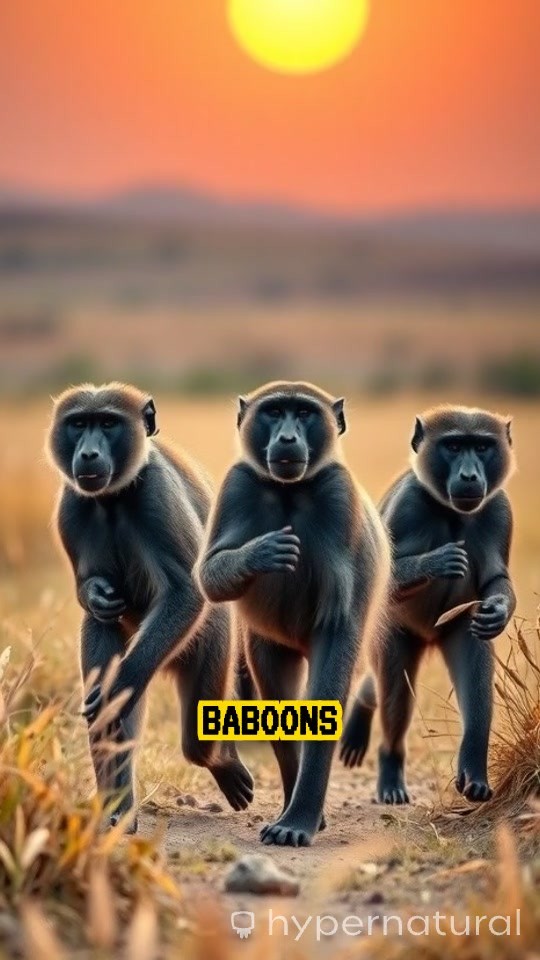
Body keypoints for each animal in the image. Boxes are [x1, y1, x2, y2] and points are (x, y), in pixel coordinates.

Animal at [47, 382, 253, 831]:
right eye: (79, 424)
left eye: (107, 423)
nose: (88, 454)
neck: (112, 500)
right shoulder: (71, 503)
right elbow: (90, 594)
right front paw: (95, 594)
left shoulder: (157, 493)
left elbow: (185, 591)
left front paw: (122, 684)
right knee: (101, 638)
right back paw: (118, 807)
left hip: (209, 639)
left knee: (196, 739)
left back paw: (222, 759)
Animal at [196, 381, 391, 847]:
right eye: (274, 412)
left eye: (303, 413)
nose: (287, 439)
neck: (289, 490)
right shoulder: (238, 484)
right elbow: (209, 576)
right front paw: (262, 552)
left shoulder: (339, 497)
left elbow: (337, 618)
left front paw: (298, 823)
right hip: (269, 643)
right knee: (276, 696)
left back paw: (300, 818)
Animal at [340, 405, 516, 805]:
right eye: (453, 446)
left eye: (481, 447)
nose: (469, 476)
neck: (450, 512)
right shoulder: (407, 504)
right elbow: (381, 577)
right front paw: (439, 561)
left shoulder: (499, 510)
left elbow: (494, 582)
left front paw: (498, 610)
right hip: (393, 634)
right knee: (393, 693)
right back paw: (390, 772)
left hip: (453, 629)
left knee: (474, 668)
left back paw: (474, 773)